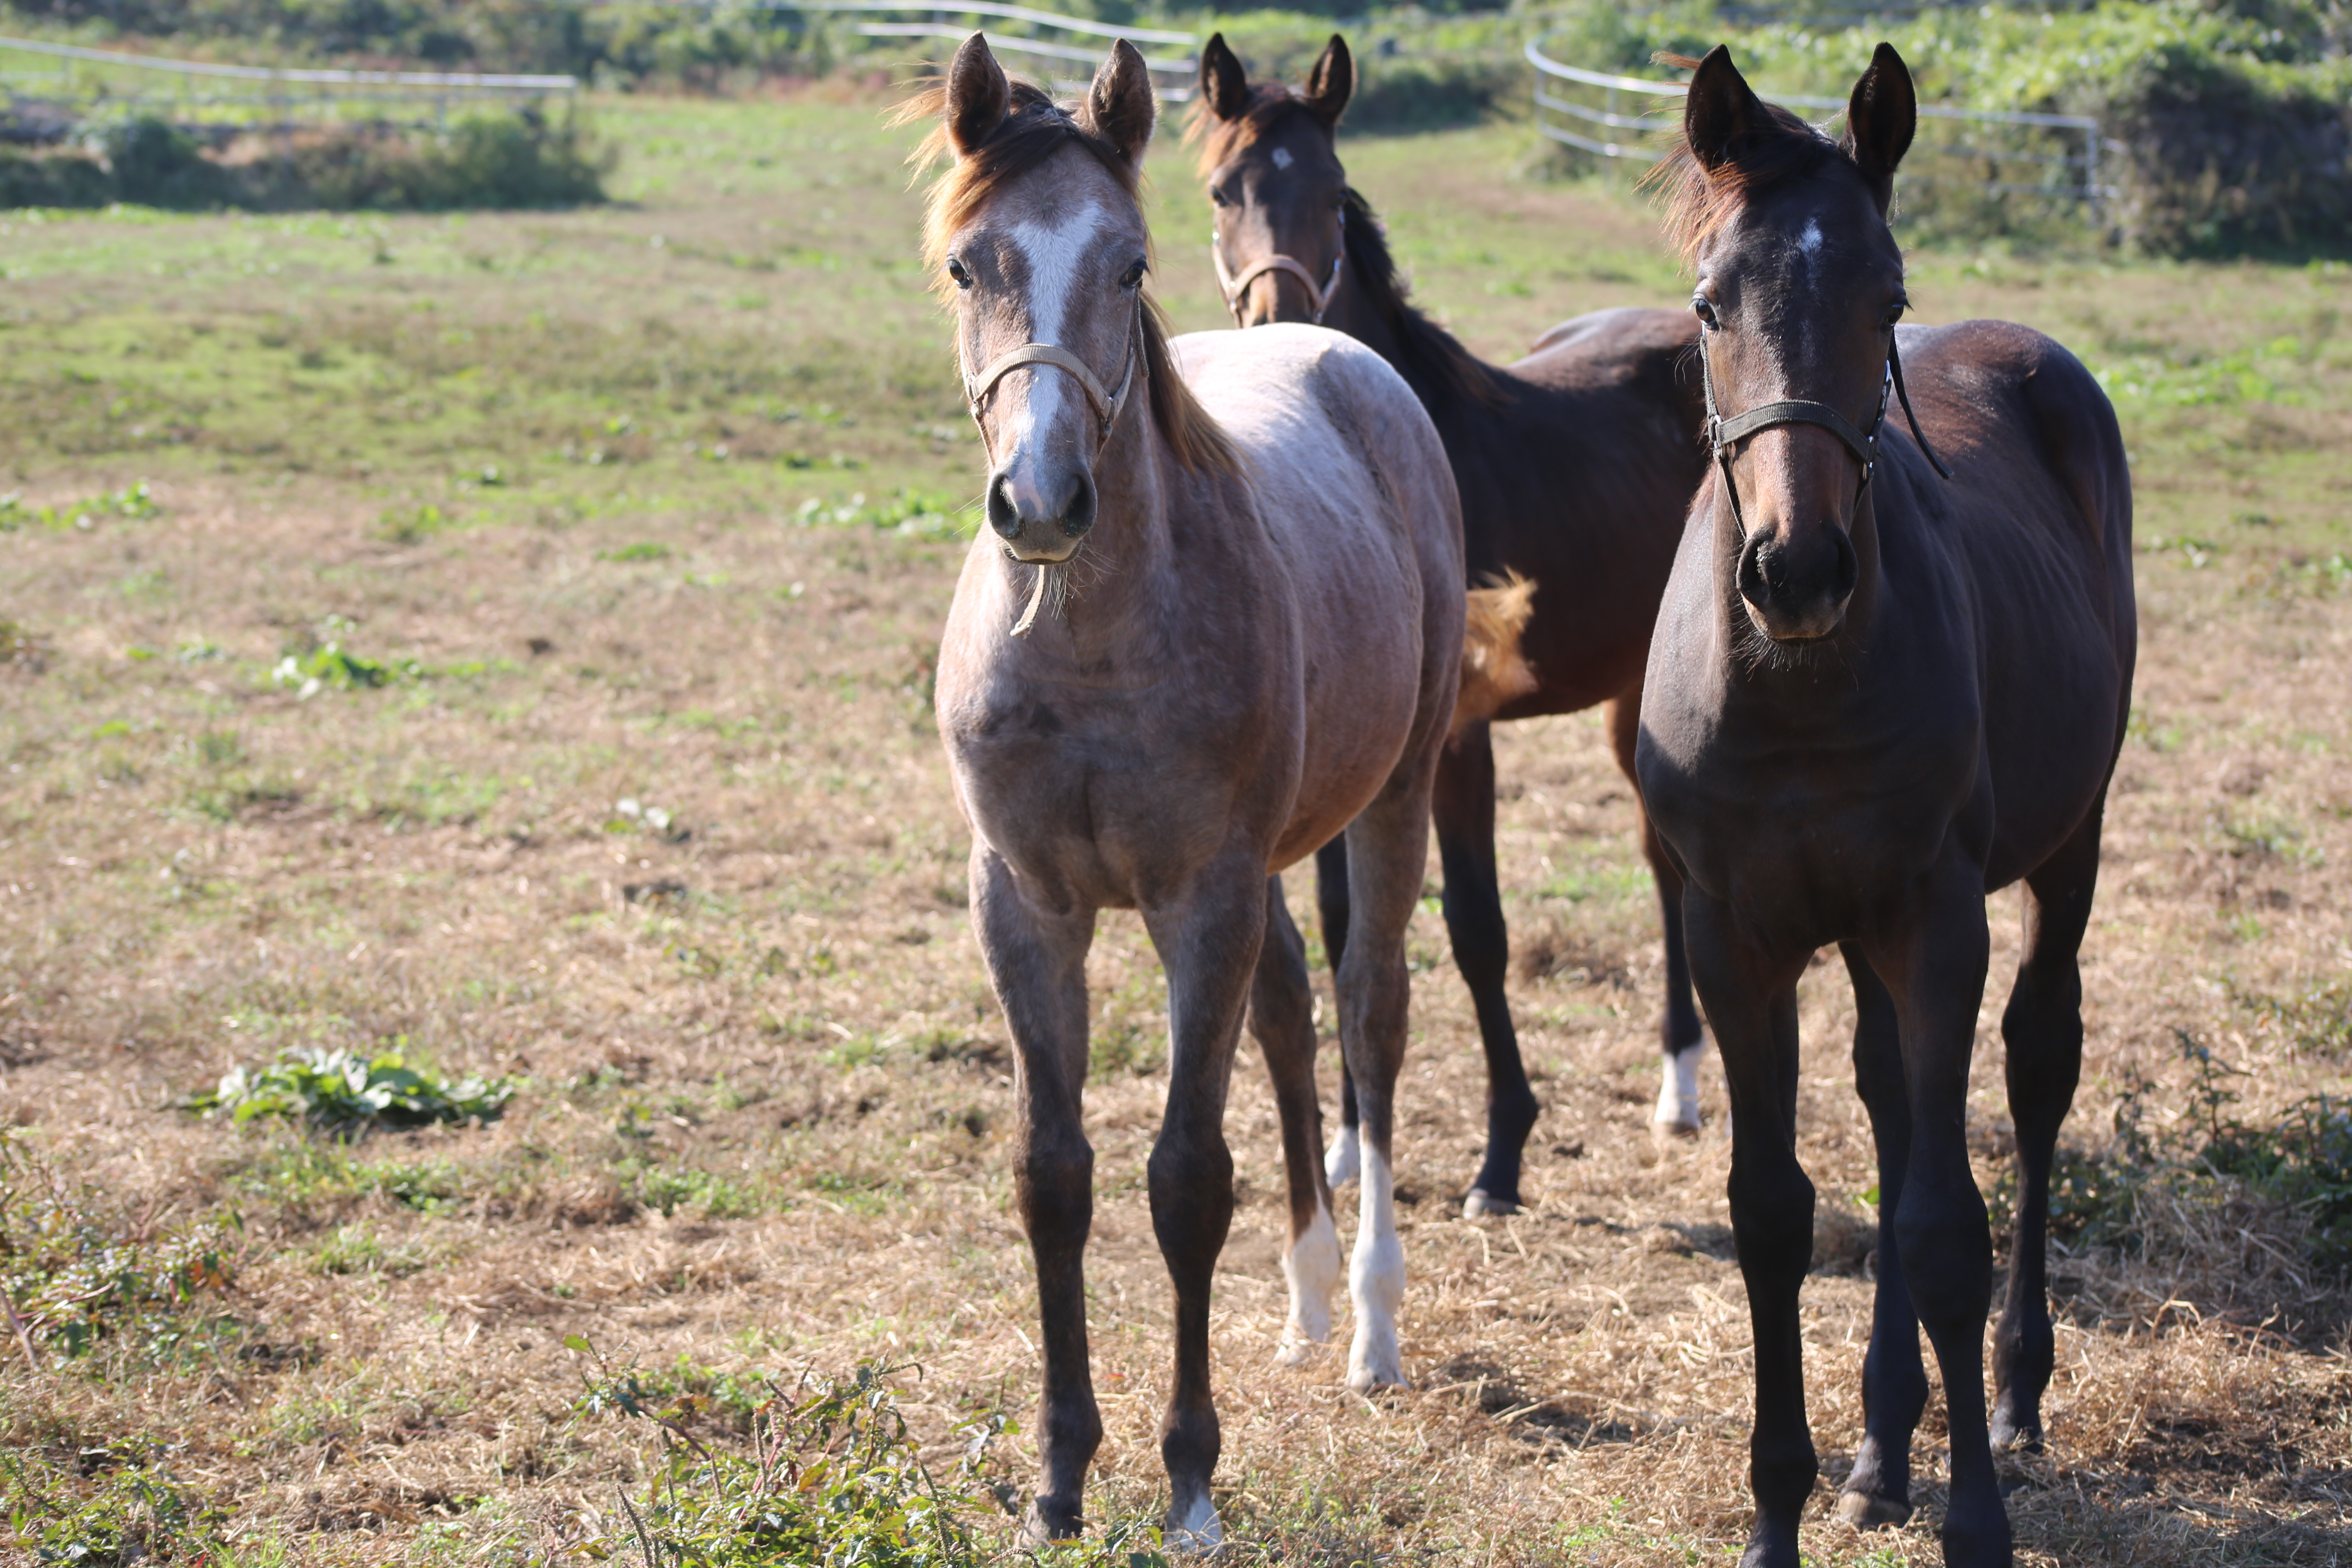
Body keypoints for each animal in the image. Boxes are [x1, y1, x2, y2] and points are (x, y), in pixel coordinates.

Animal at [917, 33, 1468, 1542]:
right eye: (968, 264)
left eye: (1129, 265)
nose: (1042, 500)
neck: (1089, 641)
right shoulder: (1026, 906)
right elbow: (1053, 1177)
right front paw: (1059, 1479)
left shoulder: (1196, 901)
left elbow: (1184, 1180)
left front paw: (1188, 1482)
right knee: (1287, 1012)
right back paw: (1306, 1298)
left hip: (1395, 799)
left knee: (1368, 1018)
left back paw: (1371, 1327)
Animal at [1195, 33, 1712, 1213]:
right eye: (1220, 190)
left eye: (1331, 191)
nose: (1277, 321)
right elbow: (1348, 923)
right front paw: (1346, 1143)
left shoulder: (1456, 741)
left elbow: (1477, 930)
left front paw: (1502, 1154)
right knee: (1661, 854)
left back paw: (1681, 1087)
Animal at [1637, 46, 2136, 1568]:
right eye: (1709, 305)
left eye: (1890, 300)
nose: (1796, 570)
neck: (1797, 691)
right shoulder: (1734, 937)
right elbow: (1775, 1210)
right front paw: (1782, 1508)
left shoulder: (1935, 915)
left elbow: (1940, 1224)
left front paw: (1974, 1514)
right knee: (1891, 1099)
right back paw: (1878, 1445)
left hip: (2064, 847)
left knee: (2035, 1068)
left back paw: (2012, 1395)